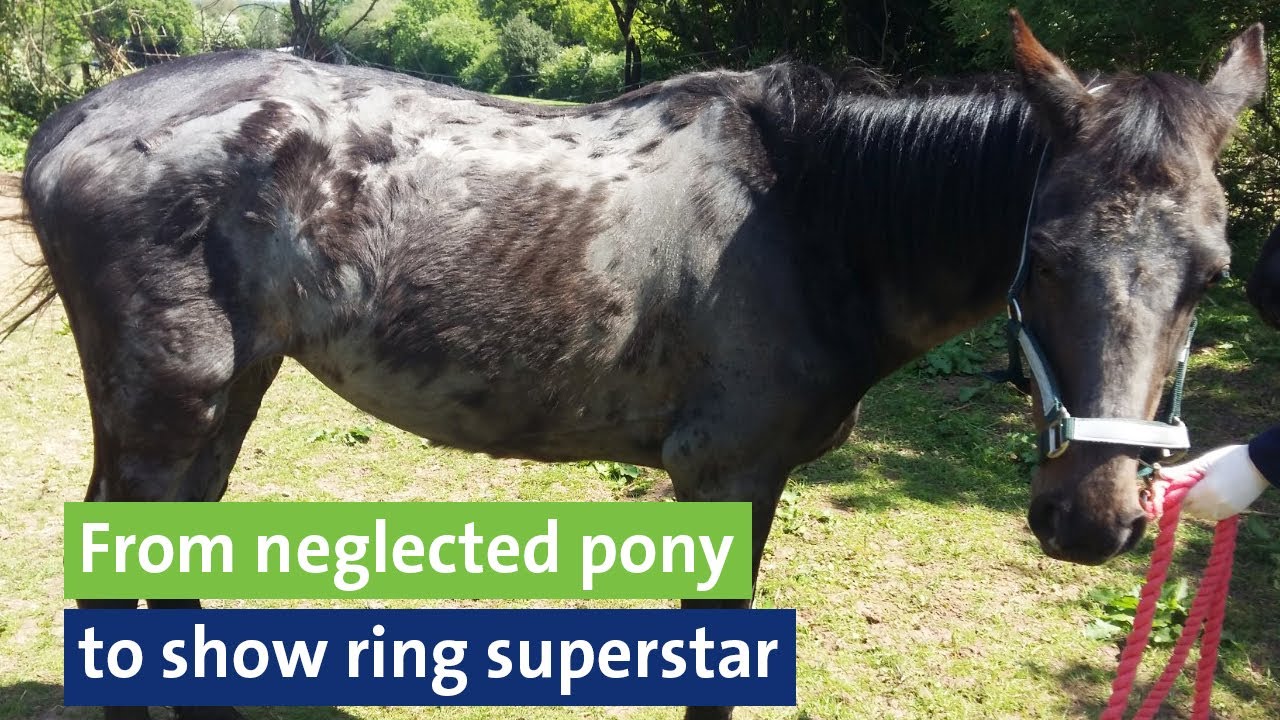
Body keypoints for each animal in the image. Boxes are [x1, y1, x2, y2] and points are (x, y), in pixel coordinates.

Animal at [5, 11, 1265, 720]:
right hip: (175, 399)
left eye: (1209, 272)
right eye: (1039, 257)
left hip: (227, 391)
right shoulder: (725, 475)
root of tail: (83, 119)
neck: (812, 218)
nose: (1089, 517)